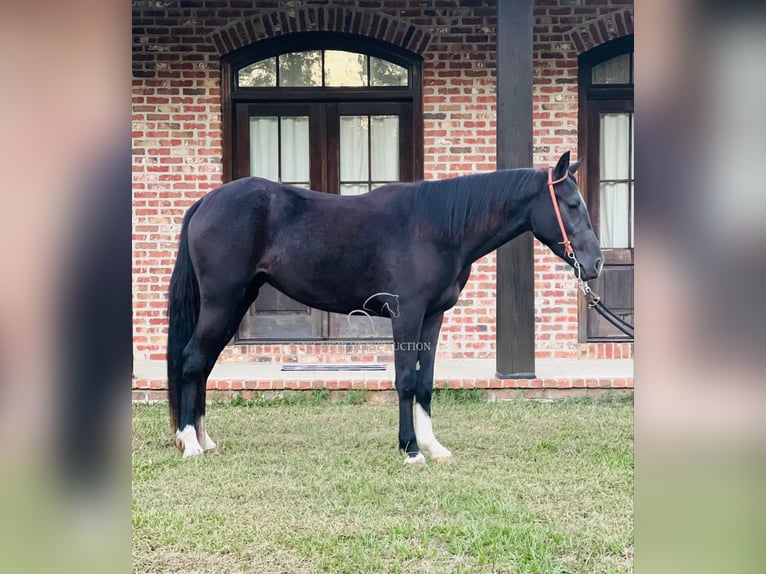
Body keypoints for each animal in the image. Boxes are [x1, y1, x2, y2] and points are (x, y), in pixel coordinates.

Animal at [170, 154, 608, 468]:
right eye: (571, 204)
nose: (596, 263)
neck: (436, 229)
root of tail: (206, 201)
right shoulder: (407, 315)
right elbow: (405, 381)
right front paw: (411, 450)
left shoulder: (433, 317)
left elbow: (426, 382)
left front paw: (432, 446)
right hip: (222, 302)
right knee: (192, 361)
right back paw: (190, 444)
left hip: (236, 302)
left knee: (203, 365)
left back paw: (205, 440)